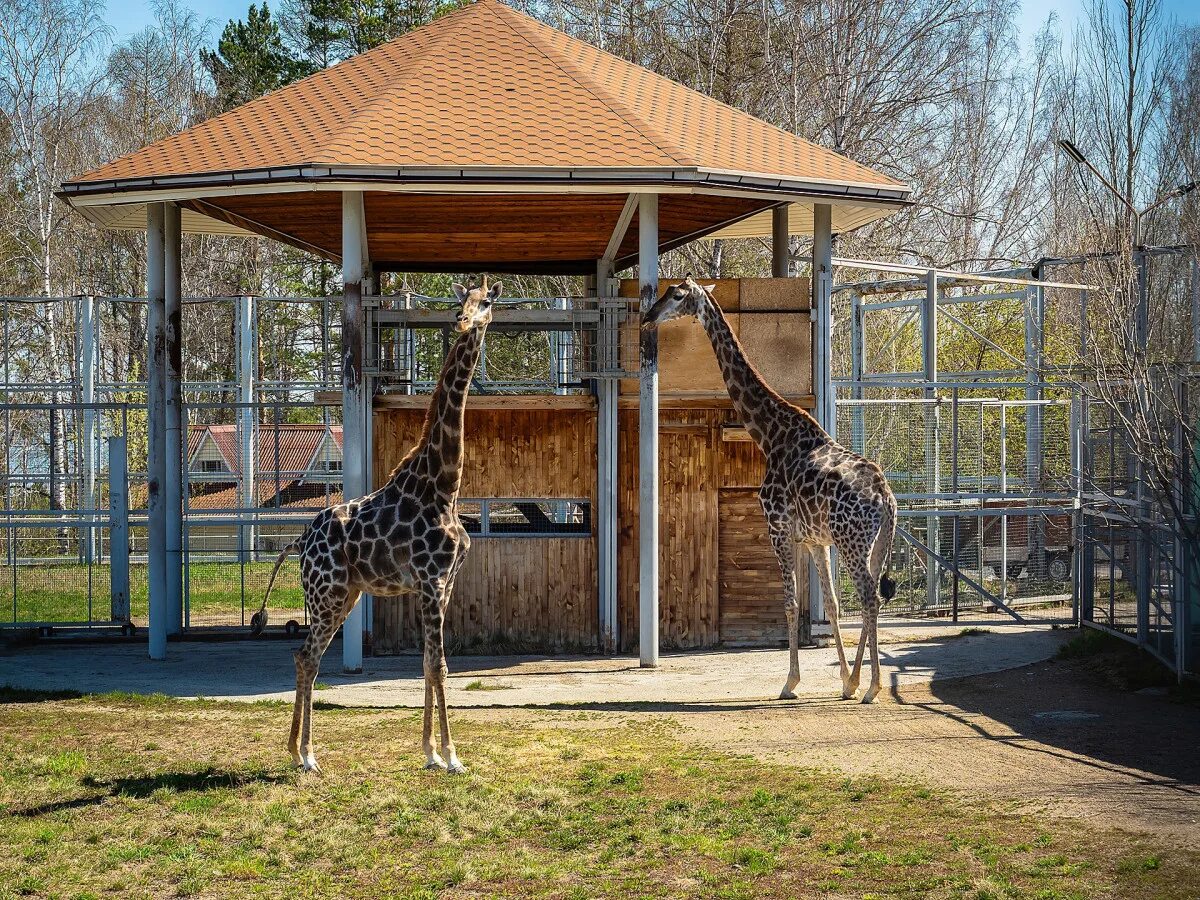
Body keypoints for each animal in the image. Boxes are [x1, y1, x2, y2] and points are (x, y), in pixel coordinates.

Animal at [250, 278, 499, 772]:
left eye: (485, 302)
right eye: (458, 303)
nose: (463, 322)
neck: (444, 485)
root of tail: (300, 541)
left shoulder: (445, 584)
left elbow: (428, 664)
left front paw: (430, 753)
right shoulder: (430, 581)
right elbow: (440, 665)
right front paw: (452, 757)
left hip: (345, 594)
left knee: (305, 656)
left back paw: (296, 751)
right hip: (327, 594)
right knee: (307, 657)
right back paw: (307, 756)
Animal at [643, 274, 897, 705]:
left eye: (676, 295)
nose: (648, 316)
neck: (770, 436)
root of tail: (885, 497)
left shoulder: (778, 528)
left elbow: (791, 603)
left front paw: (790, 682)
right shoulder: (813, 539)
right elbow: (830, 603)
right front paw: (845, 679)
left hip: (852, 540)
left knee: (867, 596)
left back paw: (874, 688)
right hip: (876, 542)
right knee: (871, 599)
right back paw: (860, 684)